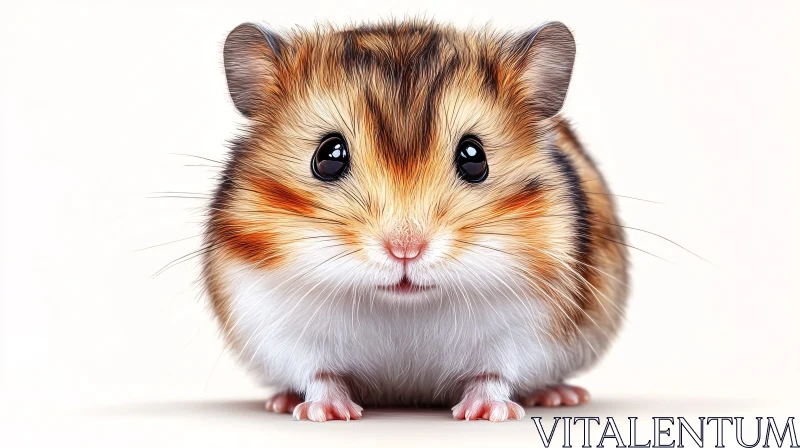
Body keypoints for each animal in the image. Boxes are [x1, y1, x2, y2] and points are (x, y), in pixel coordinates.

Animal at [203, 20, 628, 422]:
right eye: (328, 156)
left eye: (474, 157)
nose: (404, 250)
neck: (403, 306)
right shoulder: (275, 324)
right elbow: (320, 375)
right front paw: (325, 413)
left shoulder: (527, 332)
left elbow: (493, 374)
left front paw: (487, 414)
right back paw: (283, 401)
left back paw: (560, 396)